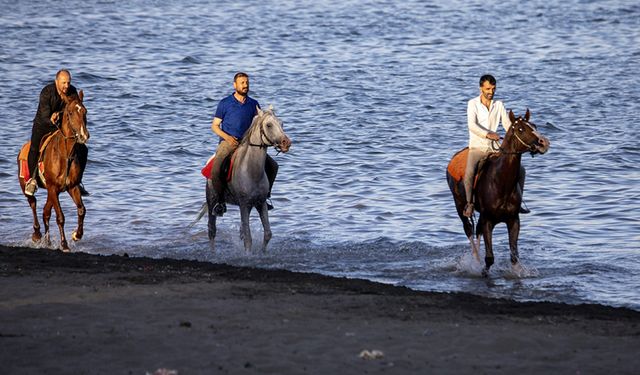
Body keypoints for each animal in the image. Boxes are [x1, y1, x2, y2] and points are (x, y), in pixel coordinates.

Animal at [17, 89, 90, 251]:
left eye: (85, 111)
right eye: (70, 112)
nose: (84, 135)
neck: (65, 155)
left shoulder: (72, 187)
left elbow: (81, 210)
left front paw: (77, 235)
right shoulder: (52, 187)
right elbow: (60, 217)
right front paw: (64, 244)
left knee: (46, 212)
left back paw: (48, 241)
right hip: (27, 186)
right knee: (33, 203)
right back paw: (37, 234)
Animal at [206, 106, 292, 253]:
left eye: (282, 124)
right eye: (269, 125)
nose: (286, 143)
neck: (252, 171)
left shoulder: (261, 202)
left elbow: (268, 234)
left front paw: (263, 253)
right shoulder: (244, 204)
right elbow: (248, 238)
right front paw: (248, 255)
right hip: (212, 200)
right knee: (212, 230)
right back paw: (212, 253)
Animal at [444, 108, 552, 276]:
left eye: (534, 125)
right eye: (520, 129)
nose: (544, 143)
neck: (501, 183)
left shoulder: (513, 221)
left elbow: (514, 256)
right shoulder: (488, 221)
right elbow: (489, 258)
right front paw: (482, 271)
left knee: (477, 231)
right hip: (459, 205)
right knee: (468, 230)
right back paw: (475, 260)